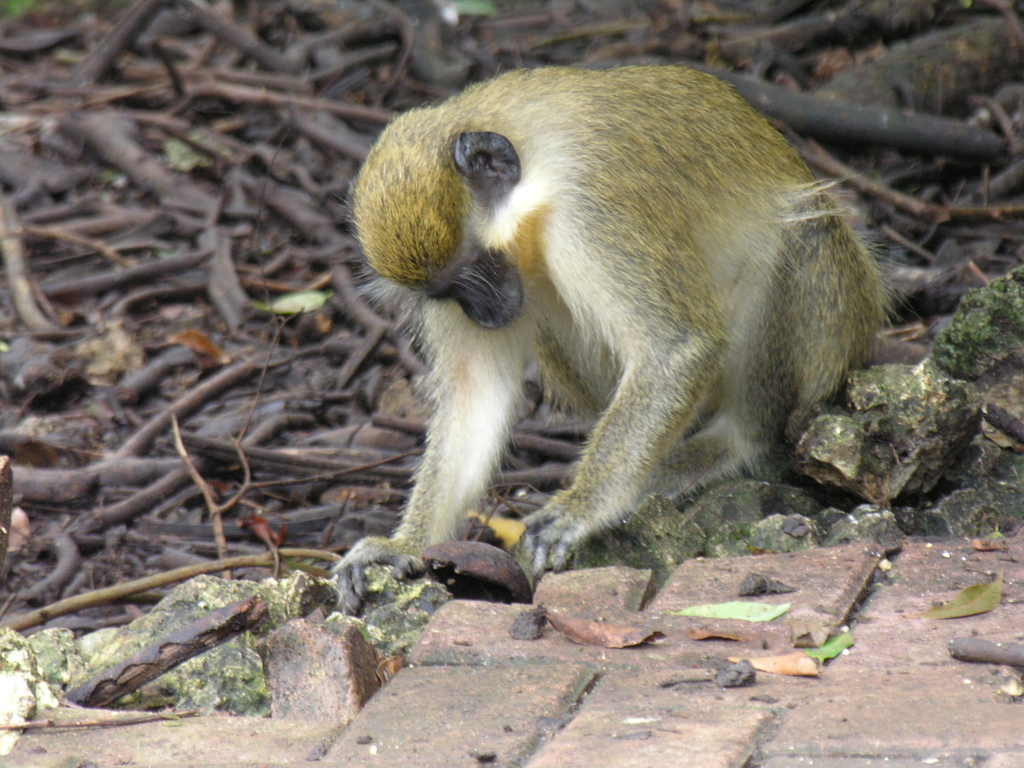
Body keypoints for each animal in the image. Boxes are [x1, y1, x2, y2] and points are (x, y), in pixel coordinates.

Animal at [331, 65, 886, 613]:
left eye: (477, 269)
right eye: (444, 294)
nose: (485, 315)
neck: (540, 181)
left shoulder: (591, 209)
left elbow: (675, 348)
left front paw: (581, 508)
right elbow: (477, 394)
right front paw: (403, 545)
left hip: (834, 329)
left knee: (798, 237)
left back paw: (727, 443)